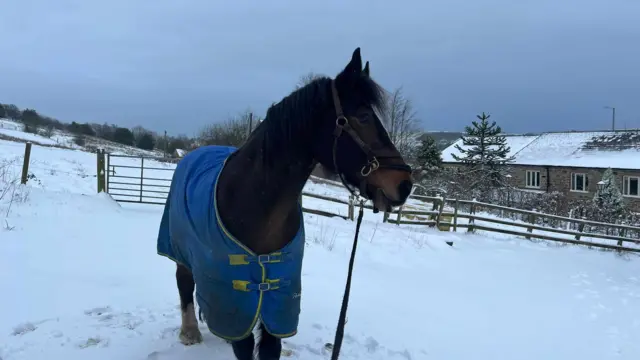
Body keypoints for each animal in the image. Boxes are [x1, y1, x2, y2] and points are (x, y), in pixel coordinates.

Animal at [158, 48, 412, 360]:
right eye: (363, 116)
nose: (405, 184)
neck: (255, 207)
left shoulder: (278, 302)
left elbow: (269, 345)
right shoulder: (236, 296)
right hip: (179, 249)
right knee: (184, 281)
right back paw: (190, 332)